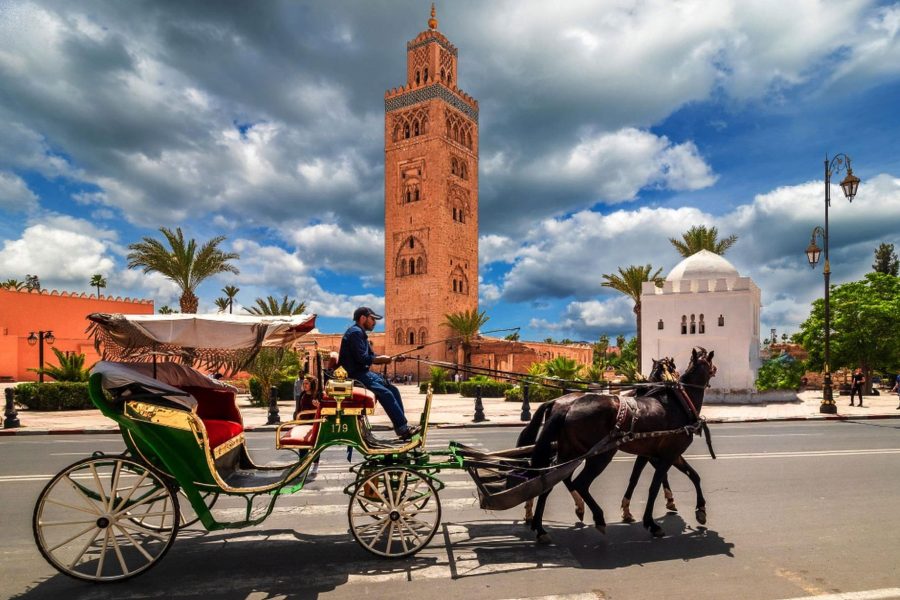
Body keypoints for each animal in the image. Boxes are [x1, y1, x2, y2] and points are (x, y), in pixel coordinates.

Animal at [520, 346, 716, 540]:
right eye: (673, 367)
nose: (715, 370)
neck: (680, 402)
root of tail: (564, 406)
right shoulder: (669, 453)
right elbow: (655, 486)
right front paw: (653, 521)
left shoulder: (654, 453)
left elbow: (684, 476)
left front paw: (699, 509)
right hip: (600, 455)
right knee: (579, 483)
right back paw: (596, 517)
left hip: (570, 451)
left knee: (551, 479)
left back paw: (541, 526)